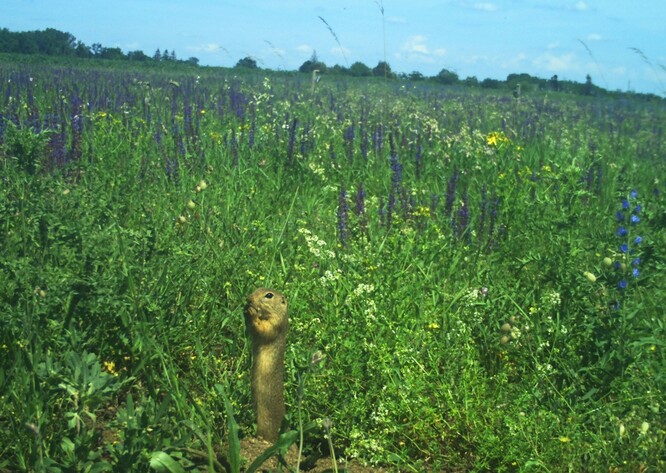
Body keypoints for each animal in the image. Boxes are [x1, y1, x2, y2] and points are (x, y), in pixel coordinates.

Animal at [243, 288, 286, 442]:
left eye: (269, 295)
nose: (249, 298)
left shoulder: (275, 324)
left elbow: (264, 329)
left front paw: (252, 312)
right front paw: (245, 310)